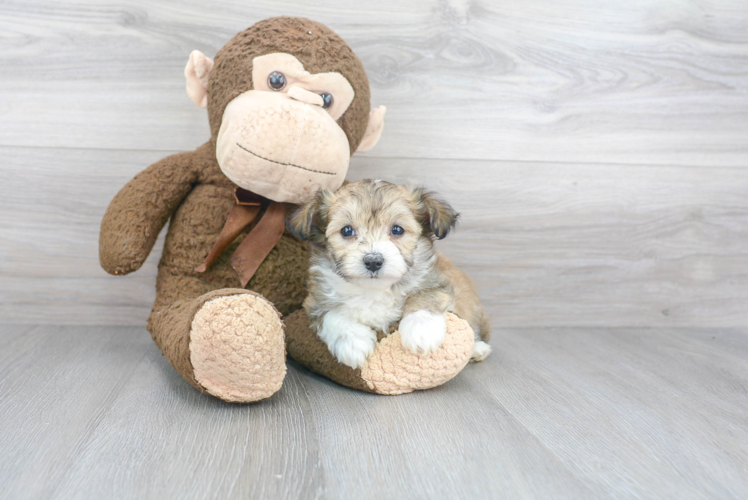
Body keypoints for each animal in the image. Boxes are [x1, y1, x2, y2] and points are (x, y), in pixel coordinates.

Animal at [290, 179, 494, 368]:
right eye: (346, 230)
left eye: (397, 229)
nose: (373, 261)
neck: (373, 290)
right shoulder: (314, 301)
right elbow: (331, 314)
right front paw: (353, 342)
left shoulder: (438, 283)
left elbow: (424, 296)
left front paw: (421, 330)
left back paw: (478, 349)